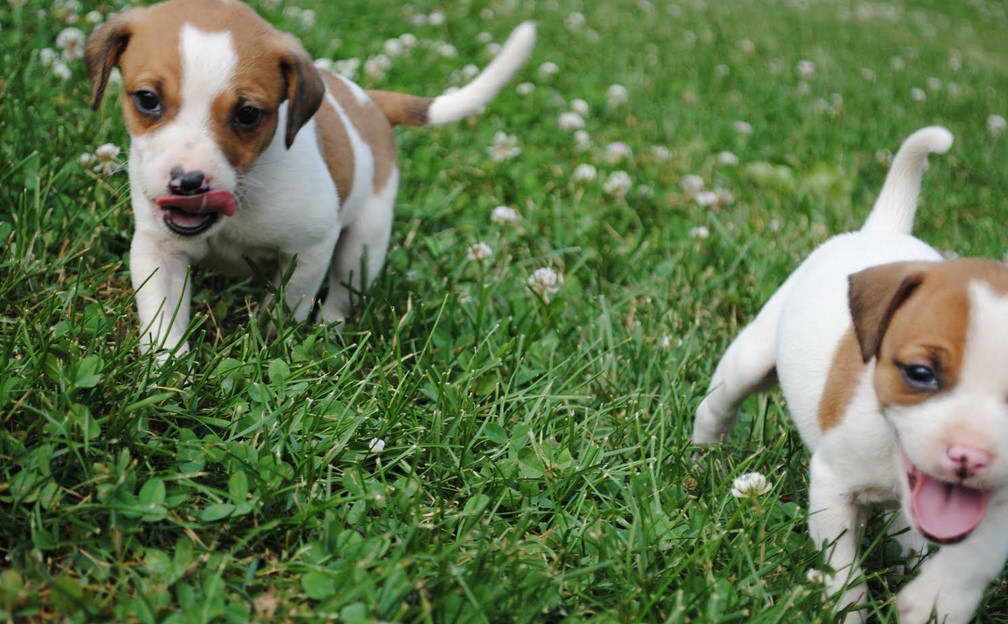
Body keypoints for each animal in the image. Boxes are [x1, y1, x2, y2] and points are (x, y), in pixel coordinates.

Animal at [86, 0, 536, 356]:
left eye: (247, 114)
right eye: (147, 99)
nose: (188, 183)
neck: (244, 196)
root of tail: (369, 101)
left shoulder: (310, 248)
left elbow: (288, 303)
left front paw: (268, 343)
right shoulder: (158, 248)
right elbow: (162, 312)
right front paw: (165, 367)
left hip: (364, 245)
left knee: (342, 291)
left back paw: (329, 332)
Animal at [693, 124, 1008, 620]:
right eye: (920, 373)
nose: (969, 456)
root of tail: (883, 230)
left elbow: (977, 553)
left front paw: (937, 600)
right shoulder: (832, 487)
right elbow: (843, 573)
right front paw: (850, 609)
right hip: (752, 357)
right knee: (718, 404)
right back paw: (704, 454)